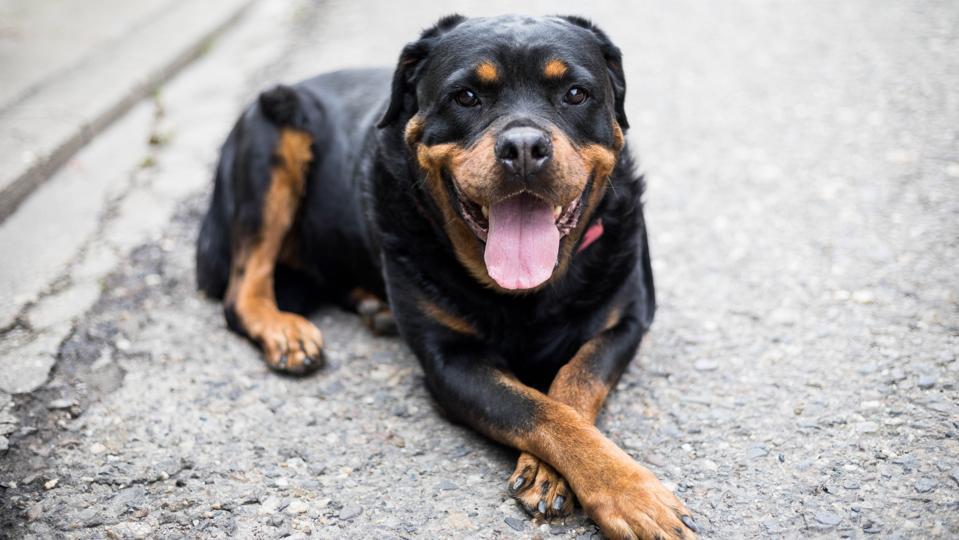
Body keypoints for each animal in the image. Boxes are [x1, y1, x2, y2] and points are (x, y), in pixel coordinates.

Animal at [197, 13, 696, 540]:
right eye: (467, 97)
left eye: (576, 94)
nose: (523, 146)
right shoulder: (450, 361)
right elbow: (539, 410)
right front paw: (630, 494)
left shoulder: (626, 322)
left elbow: (575, 382)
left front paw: (574, 477)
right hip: (272, 132)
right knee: (242, 287)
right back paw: (286, 330)